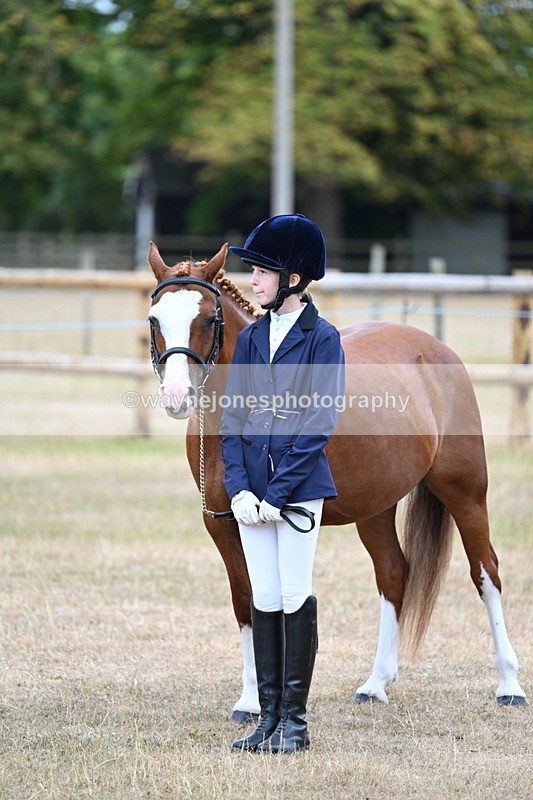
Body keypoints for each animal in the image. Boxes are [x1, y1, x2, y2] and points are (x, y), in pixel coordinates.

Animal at [146, 240, 526, 721]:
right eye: (154, 320)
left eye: (209, 320)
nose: (177, 397)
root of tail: (436, 349)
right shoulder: (224, 525)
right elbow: (248, 600)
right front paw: (251, 701)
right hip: (376, 507)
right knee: (394, 574)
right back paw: (376, 684)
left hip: (466, 492)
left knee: (486, 573)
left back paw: (509, 684)